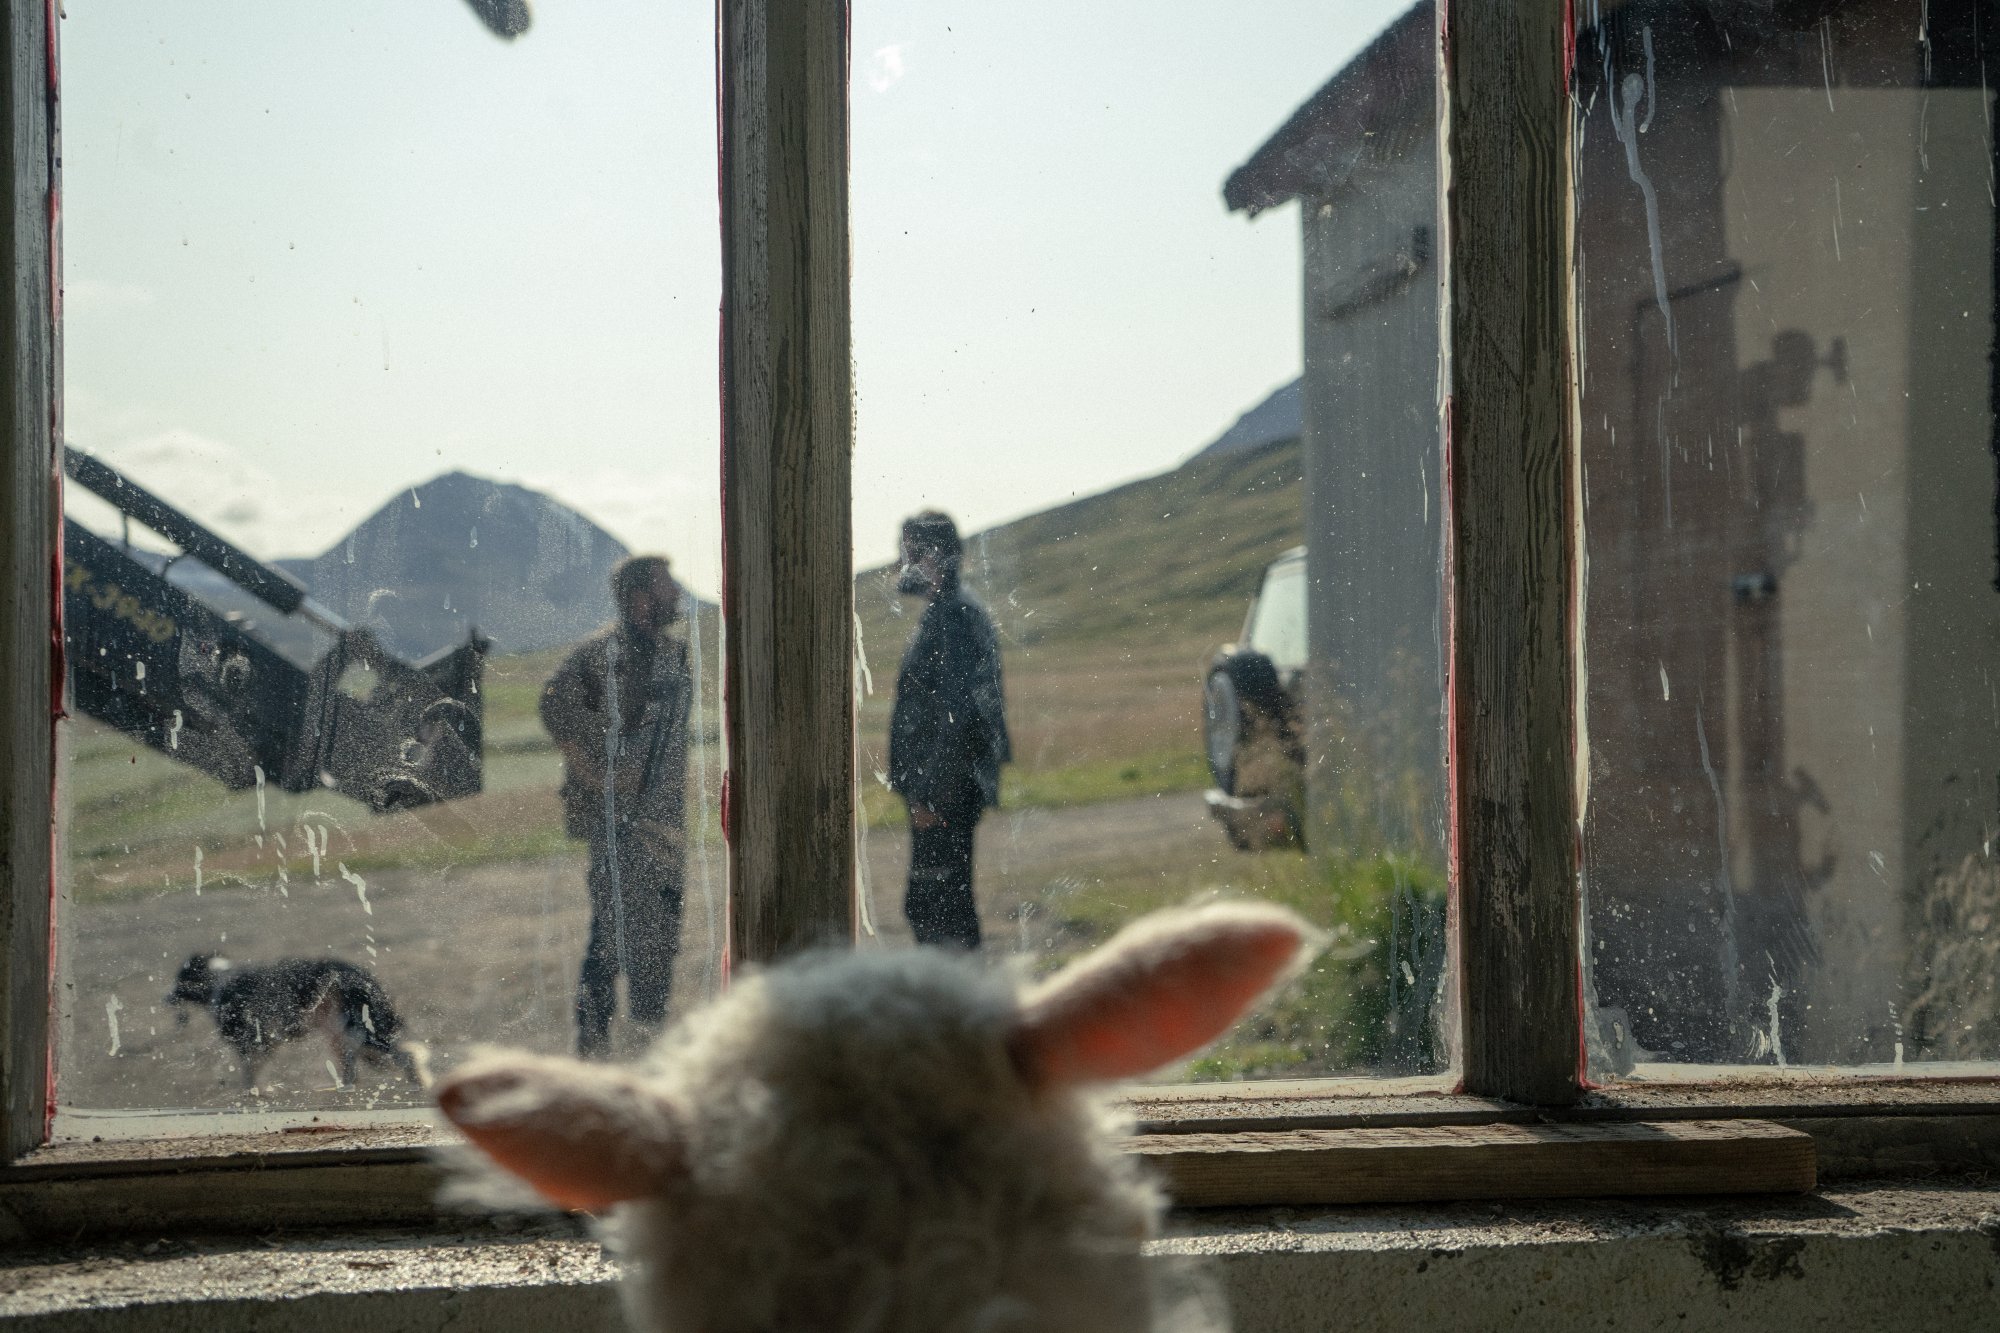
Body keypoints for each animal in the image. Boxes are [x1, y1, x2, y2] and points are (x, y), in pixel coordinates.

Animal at [169, 948, 430, 1088]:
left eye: (180, 980)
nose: (166, 998)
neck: (218, 983)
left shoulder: (255, 1041)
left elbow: (250, 1073)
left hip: (356, 1031)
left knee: (402, 1056)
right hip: (342, 1033)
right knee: (358, 1065)